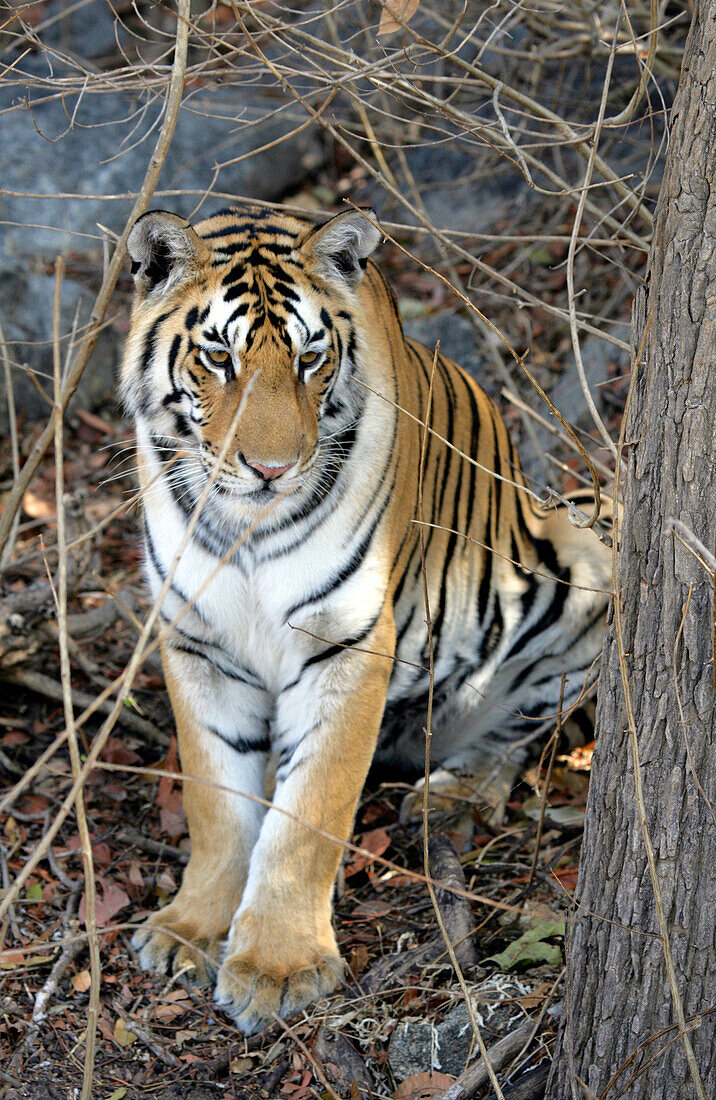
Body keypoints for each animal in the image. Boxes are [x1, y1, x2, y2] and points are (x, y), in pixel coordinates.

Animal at [120, 202, 611, 1034]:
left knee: (521, 736)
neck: (246, 527)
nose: (272, 470)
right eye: (218, 357)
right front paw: (192, 930)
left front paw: (277, 968)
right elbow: (217, 799)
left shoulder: (345, 641)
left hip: (587, 546)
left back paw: (452, 794)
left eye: (311, 358)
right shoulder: (196, 637)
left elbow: (309, 811)